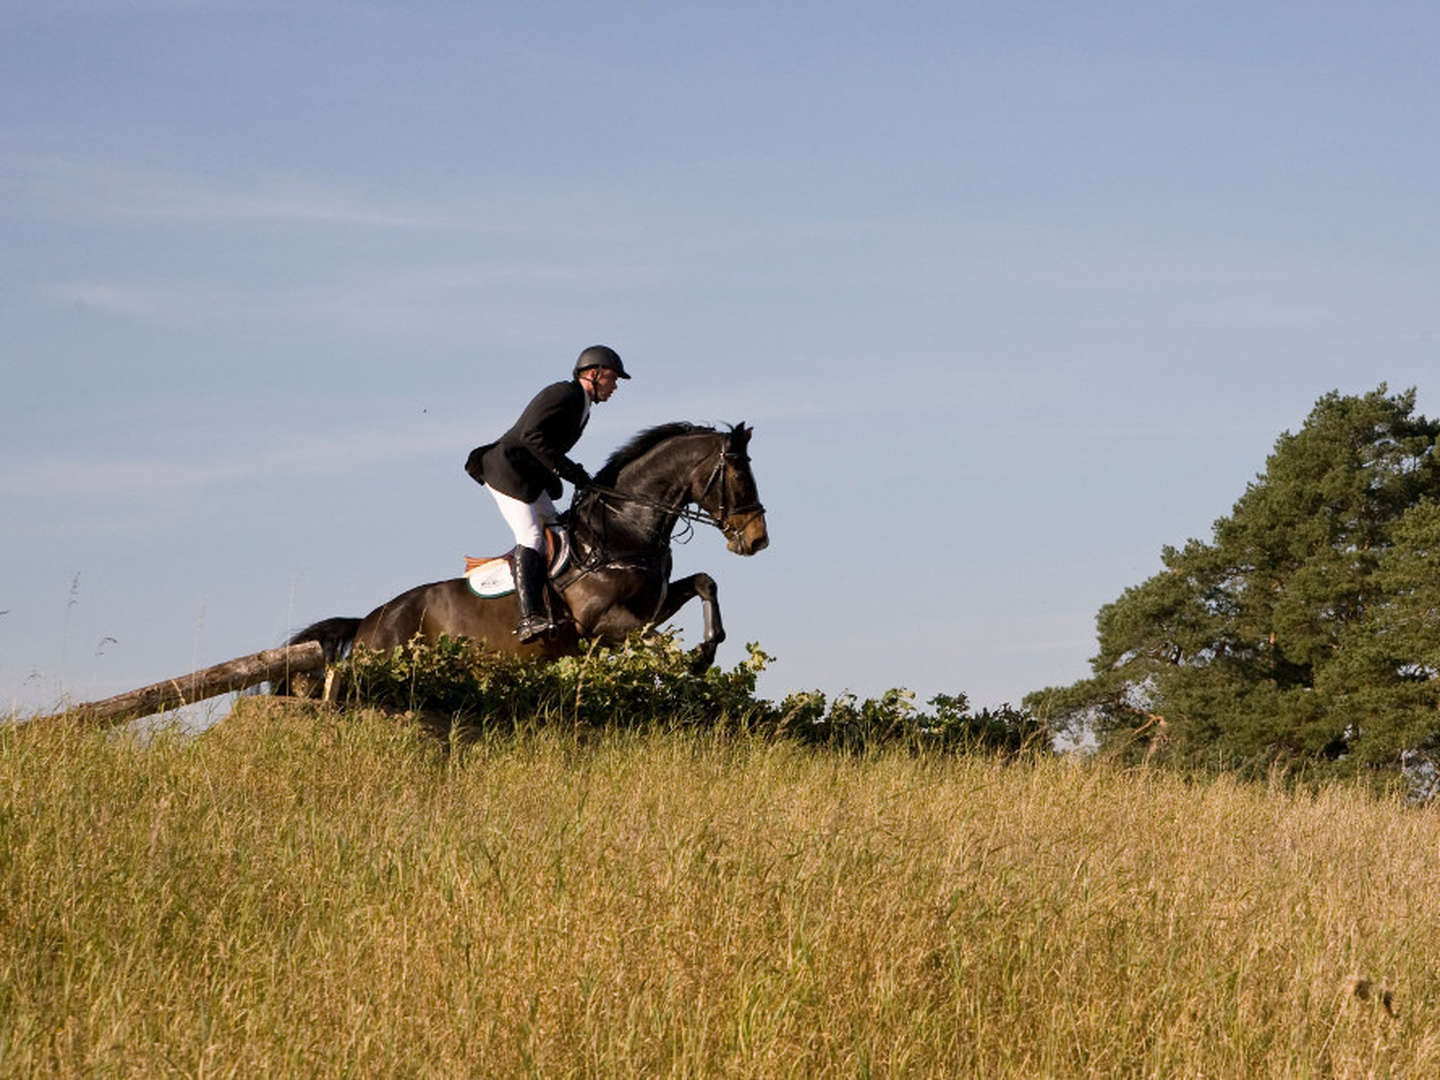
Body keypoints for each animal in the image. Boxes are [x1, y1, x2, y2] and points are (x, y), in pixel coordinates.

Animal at [280, 423, 771, 694]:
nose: (757, 540)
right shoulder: (604, 622)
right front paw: (686, 661)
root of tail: (368, 621)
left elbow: (705, 581)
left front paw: (706, 651)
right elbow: (650, 641)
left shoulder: (653, 603)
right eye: (737, 475)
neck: (621, 531)